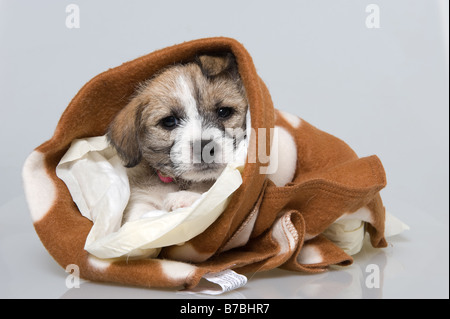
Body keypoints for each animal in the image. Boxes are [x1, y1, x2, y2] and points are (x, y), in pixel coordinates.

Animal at [107, 53, 250, 224]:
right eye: (169, 121)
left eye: (224, 112)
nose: (204, 148)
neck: (183, 183)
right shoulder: (141, 202)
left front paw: (186, 198)